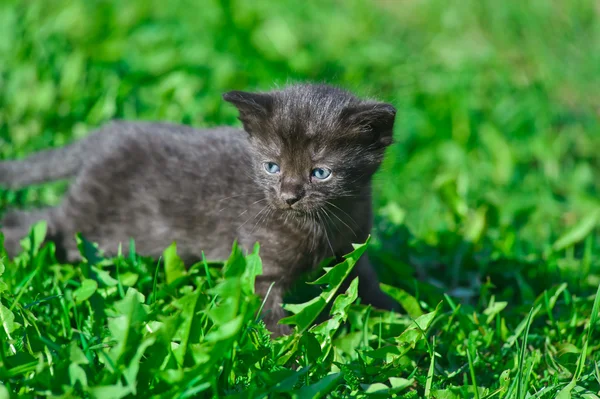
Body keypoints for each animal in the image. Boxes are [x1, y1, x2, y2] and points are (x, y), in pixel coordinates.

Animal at [1, 83, 398, 334]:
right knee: (39, 225)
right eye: (272, 167)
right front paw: (288, 353)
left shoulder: (353, 245)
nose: (289, 195)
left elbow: (365, 279)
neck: (322, 223)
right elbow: (270, 311)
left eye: (320, 173)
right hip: (89, 228)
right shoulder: (260, 266)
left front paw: (399, 313)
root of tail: (101, 138)